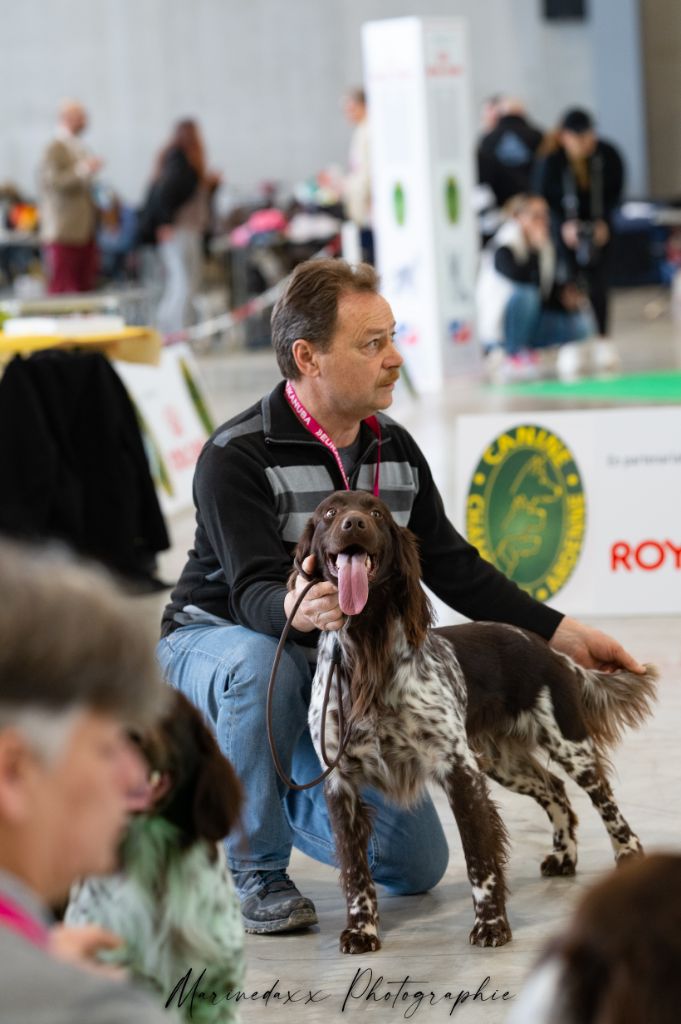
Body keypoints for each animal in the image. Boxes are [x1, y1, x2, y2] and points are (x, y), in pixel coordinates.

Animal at [294, 487, 655, 950]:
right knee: (555, 790)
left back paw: (627, 853)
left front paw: (492, 925)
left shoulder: (459, 769)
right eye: (329, 513)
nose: (352, 524)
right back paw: (563, 855)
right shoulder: (340, 783)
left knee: (604, 802)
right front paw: (361, 930)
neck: (368, 655)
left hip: (569, 745)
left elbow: (479, 858)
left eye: (375, 513)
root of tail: (548, 650)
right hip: (504, 762)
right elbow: (357, 872)